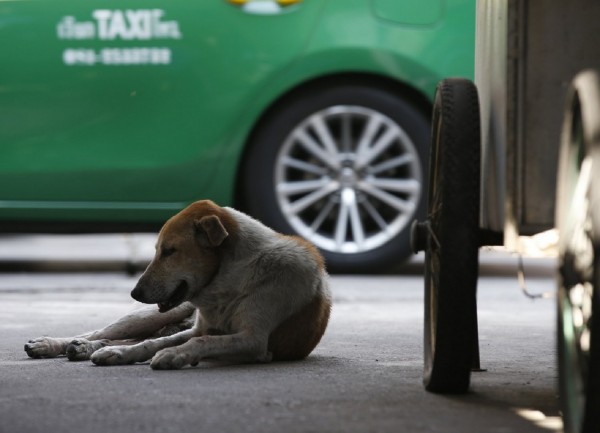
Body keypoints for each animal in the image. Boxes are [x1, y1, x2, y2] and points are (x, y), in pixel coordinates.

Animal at [23, 199, 330, 368]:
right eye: (158, 249)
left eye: (169, 251)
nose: (134, 292)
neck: (232, 278)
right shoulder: (199, 327)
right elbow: (152, 343)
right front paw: (122, 353)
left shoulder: (253, 340)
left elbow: (200, 341)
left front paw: (173, 355)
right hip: (149, 316)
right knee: (104, 332)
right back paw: (56, 344)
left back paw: (84, 349)